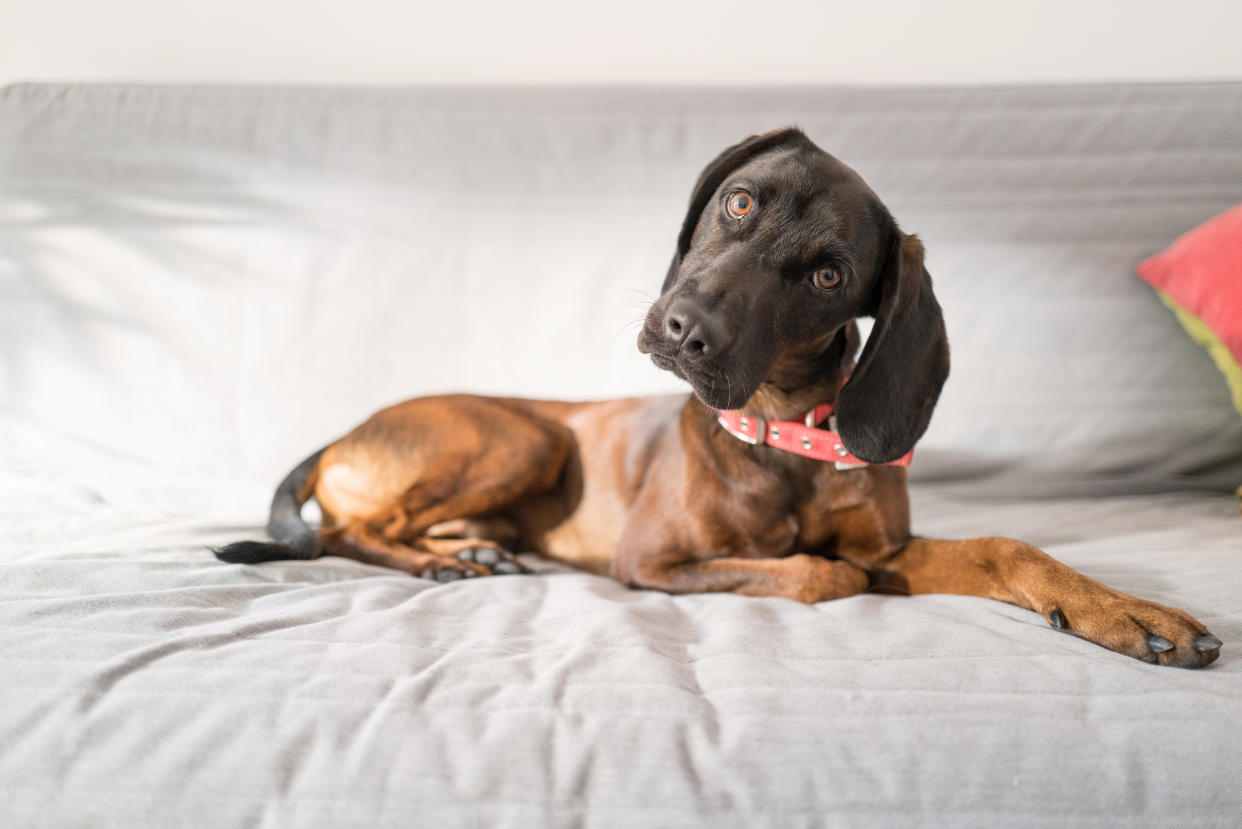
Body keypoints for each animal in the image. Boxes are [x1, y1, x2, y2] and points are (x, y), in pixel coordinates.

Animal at [216, 126, 1222, 666]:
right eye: (739, 201)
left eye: (828, 274)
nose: (683, 328)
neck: (783, 438)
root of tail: (342, 433)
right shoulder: (653, 561)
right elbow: (823, 572)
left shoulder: (895, 546)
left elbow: (1004, 547)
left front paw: (1125, 611)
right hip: (526, 439)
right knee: (350, 529)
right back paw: (442, 562)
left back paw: (471, 552)